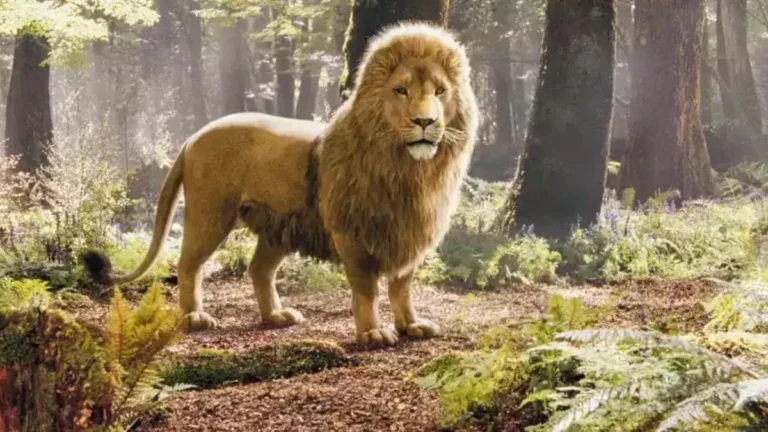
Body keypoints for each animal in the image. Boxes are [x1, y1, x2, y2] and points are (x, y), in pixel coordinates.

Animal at [82, 22, 479, 347]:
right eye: (400, 91)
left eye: (440, 91)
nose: (425, 121)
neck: (408, 168)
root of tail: (193, 136)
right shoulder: (352, 233)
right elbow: (368, 289)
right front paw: (372, 333)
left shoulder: (409, 233)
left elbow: (402, 286)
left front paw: (411, 325)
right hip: (211, 214)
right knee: (188, 265)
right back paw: (194, 317)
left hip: (278, 226)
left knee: (258, 269)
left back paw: (275, 316)